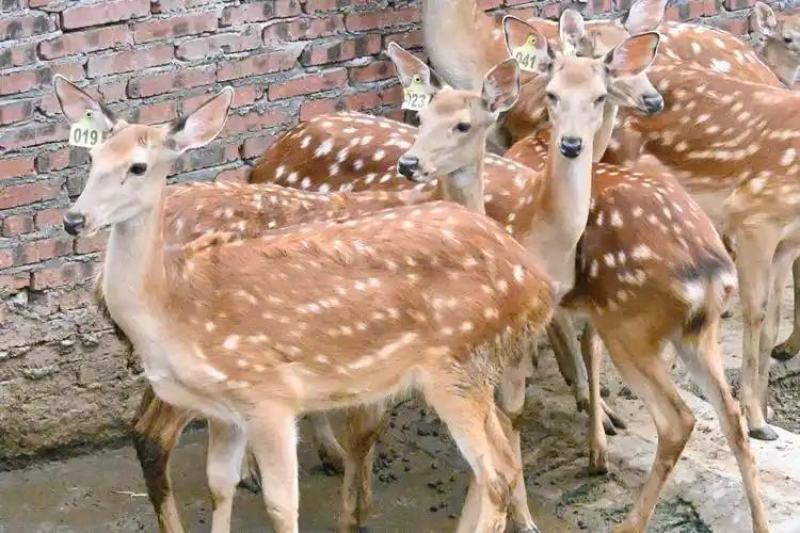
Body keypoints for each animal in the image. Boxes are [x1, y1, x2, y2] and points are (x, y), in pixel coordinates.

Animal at [53, 75, 558, 533]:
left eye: (138, 166)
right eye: (92, 157)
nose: (74, 219)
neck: (175, 301)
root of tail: (538, 283)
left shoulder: (270, 395)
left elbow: (285, 503)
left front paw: (351, 512)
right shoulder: (229, 408)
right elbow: (222, 484)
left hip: (457, 366)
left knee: (495, 468)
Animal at [248, 22, 769, 532]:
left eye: (601, 93)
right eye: (552, 92)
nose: (653, 100)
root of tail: (268, 155)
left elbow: (510, 413)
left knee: (721, 417)